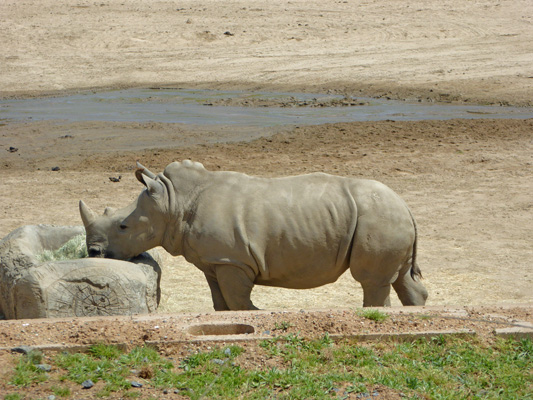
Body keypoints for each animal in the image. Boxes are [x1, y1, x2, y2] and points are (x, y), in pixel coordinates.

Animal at [80, 161, 428, 310]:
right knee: (399, 279)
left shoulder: (233, 260)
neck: (173, 201)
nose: (93, 252)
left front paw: (257, 315)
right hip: (386, 217)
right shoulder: (215, 261)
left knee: (372, 281)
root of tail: (407, 206)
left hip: (378, 218)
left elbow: (238, 300)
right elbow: (221, 302)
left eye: (123, 227)